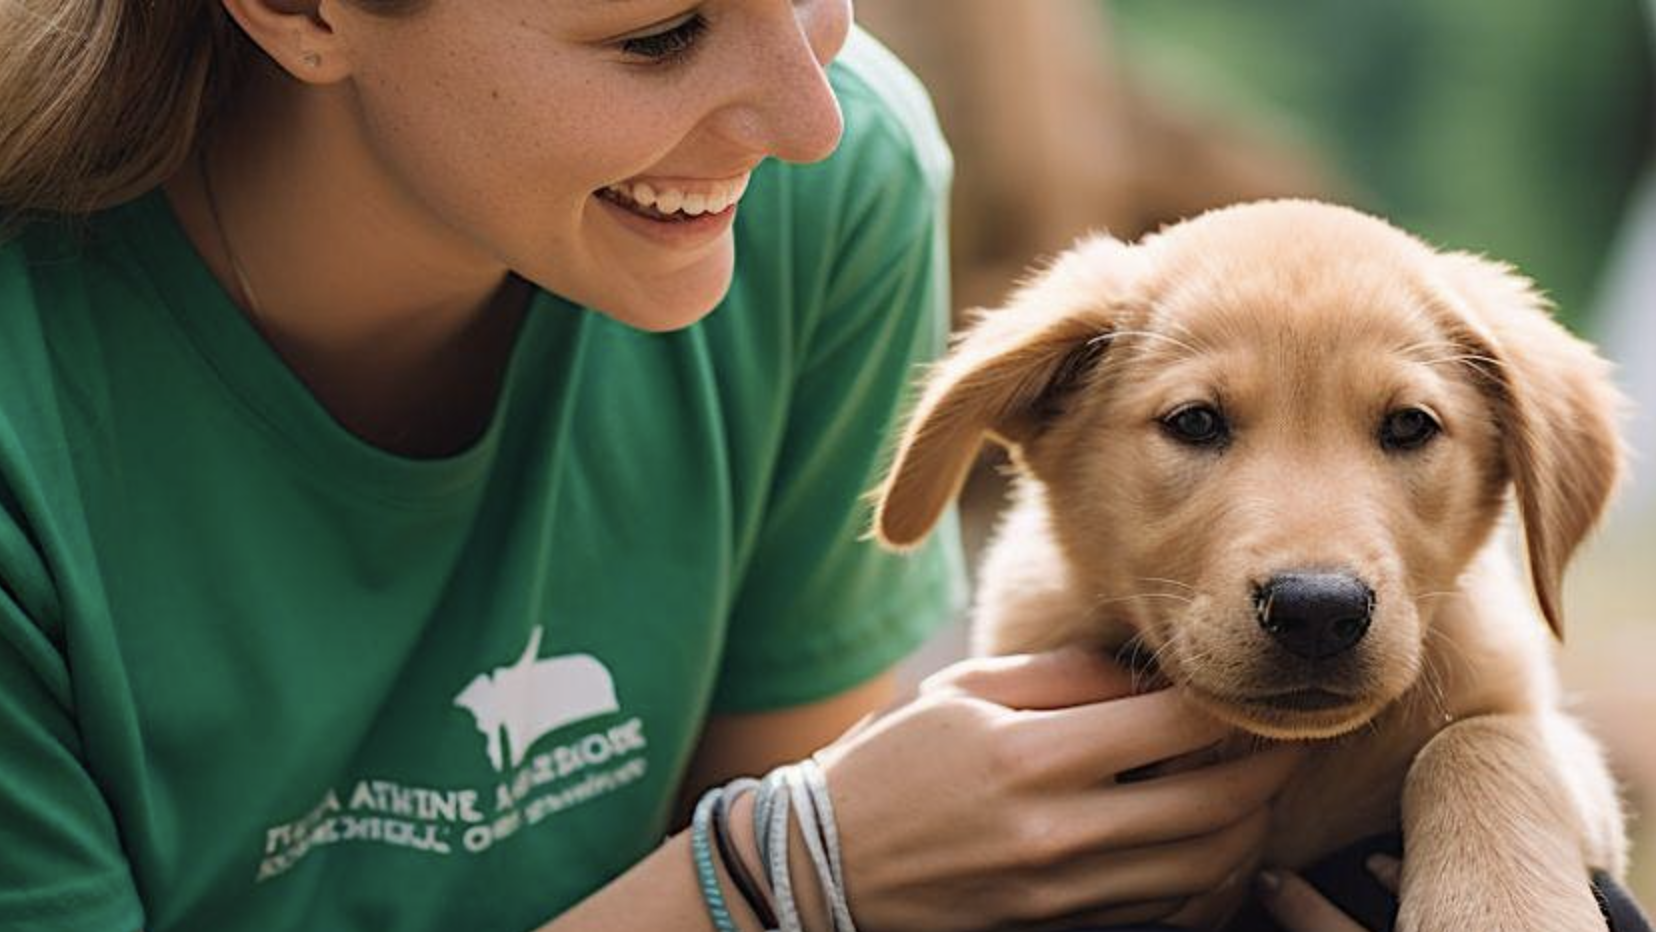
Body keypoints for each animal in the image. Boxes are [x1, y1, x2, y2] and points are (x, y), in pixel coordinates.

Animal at [880, 204, 1629, 932]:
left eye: (1410, 425)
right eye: (1194, 421)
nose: (1318, 611)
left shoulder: (1556, 748)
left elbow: (1475, 740)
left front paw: (1505, 909)